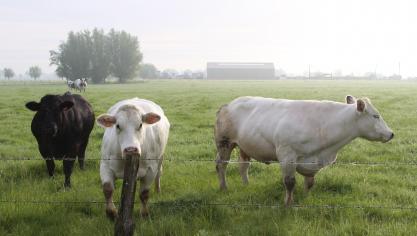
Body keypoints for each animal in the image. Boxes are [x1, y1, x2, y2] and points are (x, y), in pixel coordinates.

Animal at [214, 95, 394, 206]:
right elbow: (289, 182)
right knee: (221, 165)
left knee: (243, 165)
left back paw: (246, 185)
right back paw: (223, 187)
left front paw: (306, 198)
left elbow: (310, 182)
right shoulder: (287, 155)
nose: (391, 134)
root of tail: (228, 105)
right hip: (224, 143)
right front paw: (288, 204)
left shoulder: (312, 162)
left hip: (245, 145)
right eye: (376, 116)